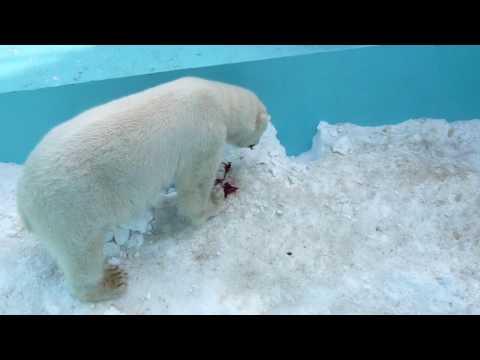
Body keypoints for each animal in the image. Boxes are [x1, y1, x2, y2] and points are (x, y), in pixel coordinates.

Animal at [15, 77, 270, 302]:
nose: (255, 144)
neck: (217, 97)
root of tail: (23, 202)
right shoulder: (204, 137)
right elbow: (194, 187)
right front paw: (216, 200)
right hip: (69, 209)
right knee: (82, 254)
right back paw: (110, 282)